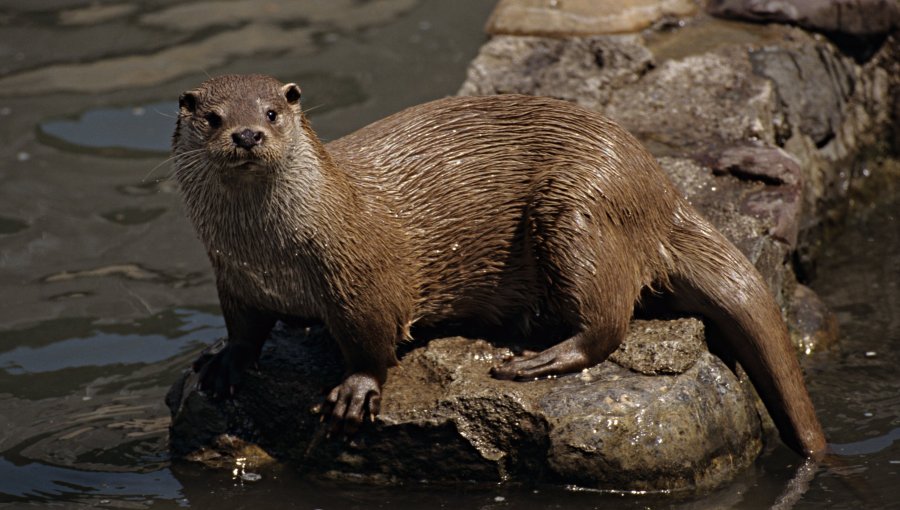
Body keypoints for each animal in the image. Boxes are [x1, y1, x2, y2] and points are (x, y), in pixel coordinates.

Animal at [172, 72, 828, 458]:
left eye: (271, 112)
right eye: (213, 118)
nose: (247, 135)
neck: (272, 252)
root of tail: (662, 189)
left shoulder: (361, 280)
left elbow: (372, 341)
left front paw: (355, 391)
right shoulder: (233, 277)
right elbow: (244, 328)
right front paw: (223, 362)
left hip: (580, 209)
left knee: (609, 321)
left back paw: (536, 360)